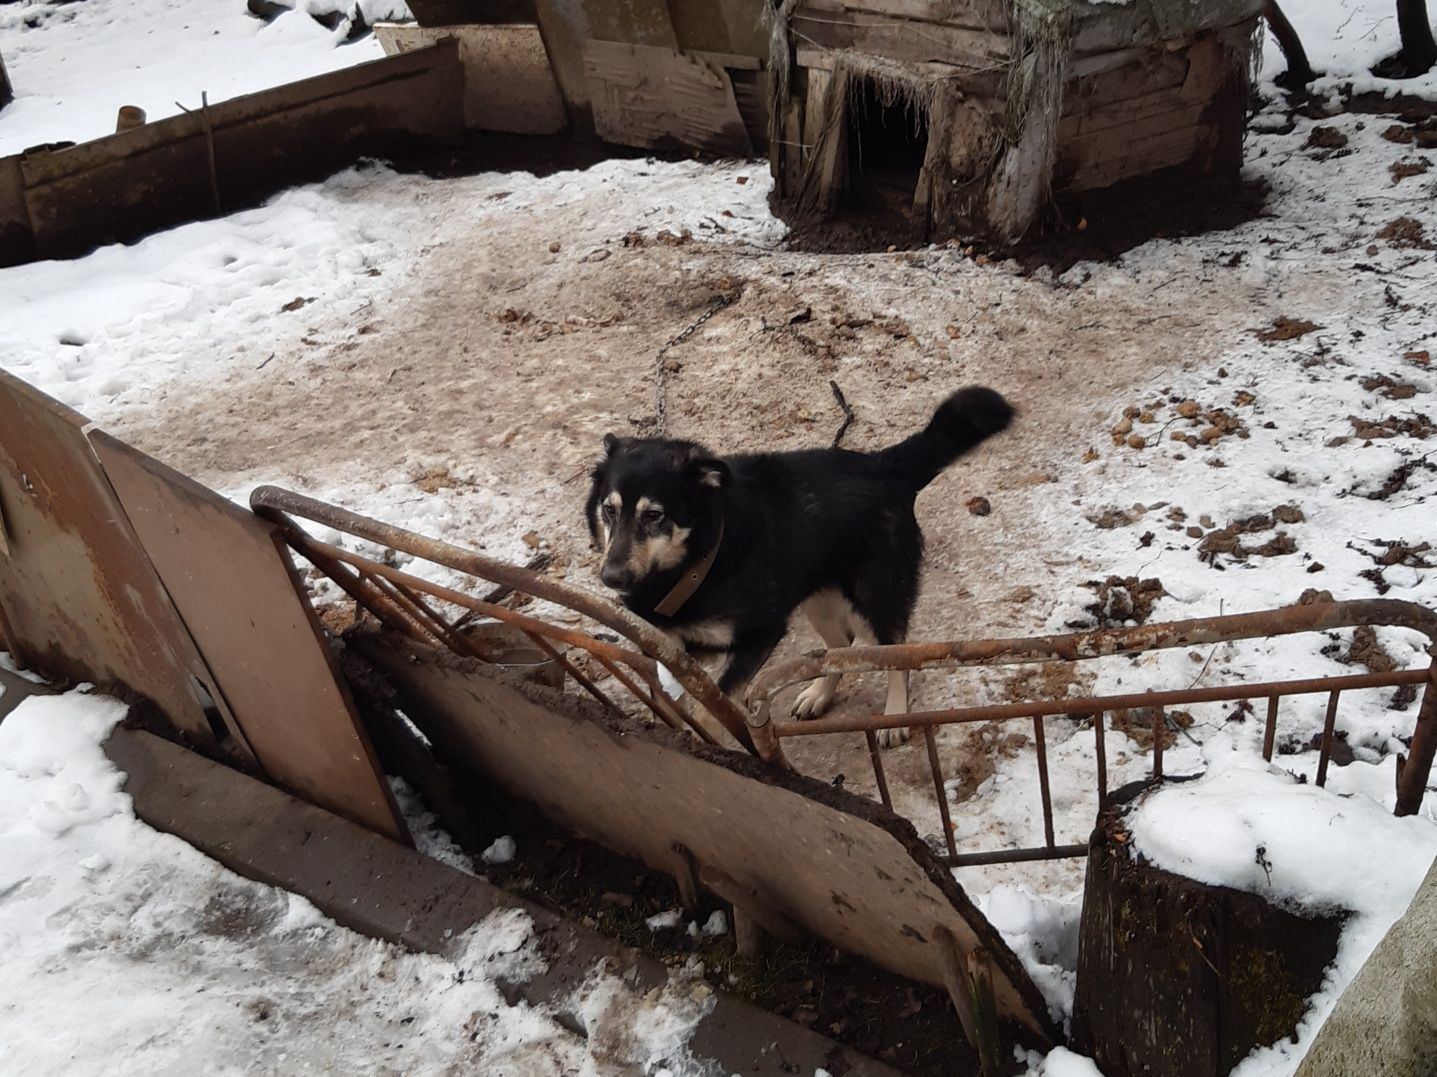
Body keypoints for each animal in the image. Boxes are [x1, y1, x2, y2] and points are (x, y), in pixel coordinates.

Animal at [583, 385, 1011, 747]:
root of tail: (883, 465)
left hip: (876, 596)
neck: (699, 560)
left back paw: (894, 716)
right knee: (838, 646)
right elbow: (671, 700)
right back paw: (818, 696)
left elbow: (713, 707)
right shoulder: (668, 647)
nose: (611, 577)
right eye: (609, 509)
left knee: (898, 656)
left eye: (654, 515)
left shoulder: (761, 635)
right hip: (816, 596)